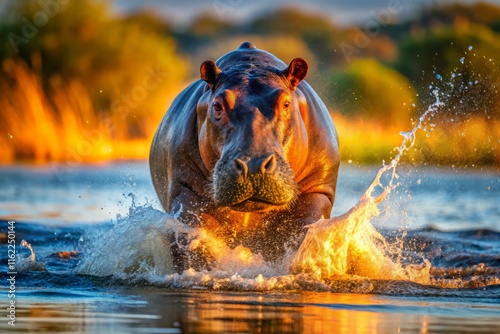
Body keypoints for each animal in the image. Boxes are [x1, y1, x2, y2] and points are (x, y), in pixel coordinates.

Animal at [148, 42, 340, 272]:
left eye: (286, 103)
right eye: (217, 105)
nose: (254, 164)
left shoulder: (317, 190)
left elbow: (303, 234)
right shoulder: (185, 189)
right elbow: (192, 241)